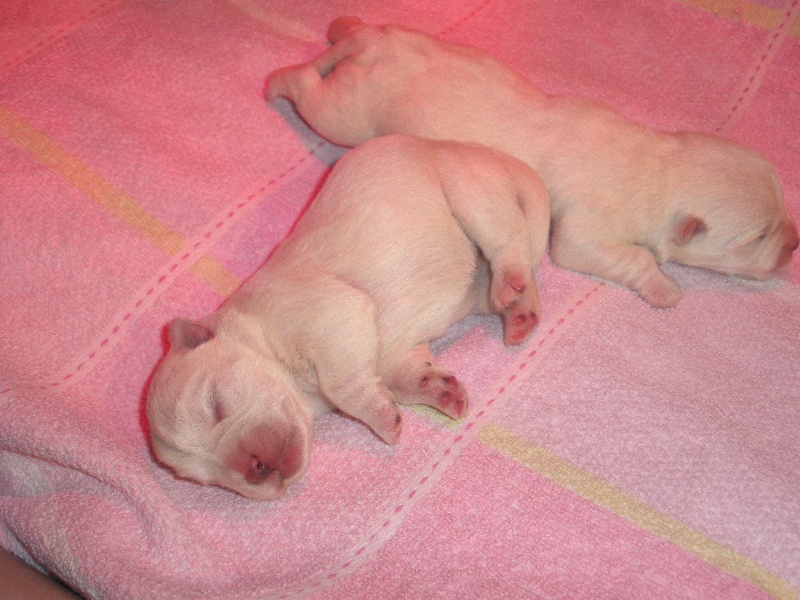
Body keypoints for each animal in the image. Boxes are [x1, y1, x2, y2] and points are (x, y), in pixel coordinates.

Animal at [147, 134, 552, 500]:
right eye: (209, 480)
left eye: (215, 404)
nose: (253, 468)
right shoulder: (389, 353)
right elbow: (404, 374)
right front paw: (436, 388)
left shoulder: (327, 316)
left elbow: (345, 387)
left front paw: (383, 419)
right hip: (480, 276)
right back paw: (521, 314)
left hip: (468, 186)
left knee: (506, 242)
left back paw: (510, 286)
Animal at [266, 17, 796, 310]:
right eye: (758, 237)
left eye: (780, 202)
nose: (794, 245)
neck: (657, 163)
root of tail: (368, 46)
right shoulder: (586, 228)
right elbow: (620, 253)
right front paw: (665, 289)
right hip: (348, 115)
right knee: (309, 90)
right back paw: (277, 82)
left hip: (392, 43)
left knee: (354, 36)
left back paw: (345, 22)